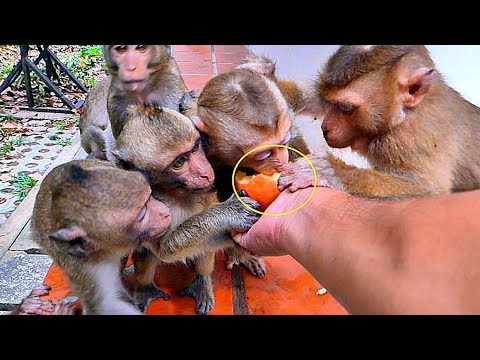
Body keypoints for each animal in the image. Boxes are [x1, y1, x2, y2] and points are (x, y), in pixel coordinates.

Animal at [113, 105, 260, 316]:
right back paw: (145, 287)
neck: (174, 191)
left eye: (195, 149)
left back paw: (203, 278)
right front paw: (230, 212)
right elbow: (165, 248)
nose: (205, 173)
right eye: (179, 162)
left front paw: (238, 248)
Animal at [278, 45, 480, 200]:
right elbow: (313, 99)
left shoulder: (410, 140)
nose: (325, 128)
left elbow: (429, 191)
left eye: (345, 108)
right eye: (330, 103)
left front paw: (327, 171)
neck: (405, 116)